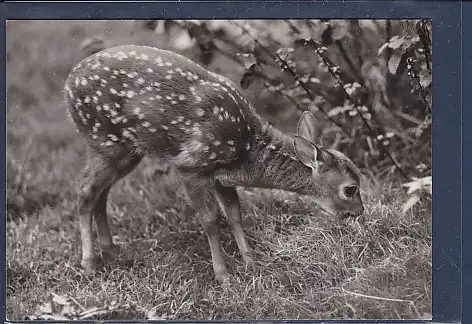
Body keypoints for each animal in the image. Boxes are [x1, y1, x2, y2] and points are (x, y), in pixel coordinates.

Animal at [63, 43, 366, 284]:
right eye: (350, 189)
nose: (360, 212)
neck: (246, 149)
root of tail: (68, 83)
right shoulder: (192, 165)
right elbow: (210, 220)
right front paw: (223, 275)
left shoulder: (222, 176)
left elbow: (234, 214)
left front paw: (250, 261)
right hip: (104, 140)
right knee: (84, 192)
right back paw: (89, 263)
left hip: (125, 152)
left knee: (100, 194)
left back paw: (112, 251)